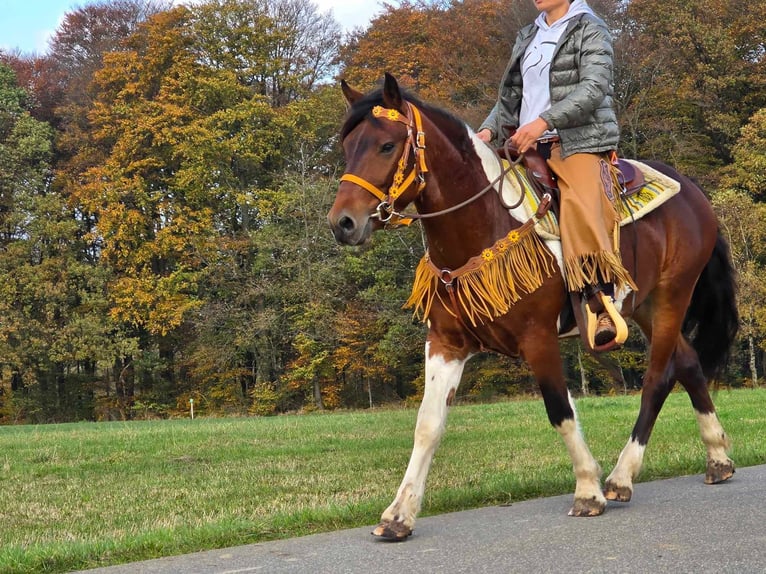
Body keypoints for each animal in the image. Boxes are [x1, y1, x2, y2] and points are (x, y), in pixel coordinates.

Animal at [328, 74, 740, 544]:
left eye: (386, 145)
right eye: (347, 146)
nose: (343, 223)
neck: (485, 225)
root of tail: (691, 188)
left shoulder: (538, 338)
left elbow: (560, 410)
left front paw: (588, 489)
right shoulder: (447, 343)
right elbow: (428, 424)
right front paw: (399, 514)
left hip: (673, 295)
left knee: (658, 377)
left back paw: (621, 476)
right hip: (644, 306)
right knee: (687, 363)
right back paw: (717, 457)